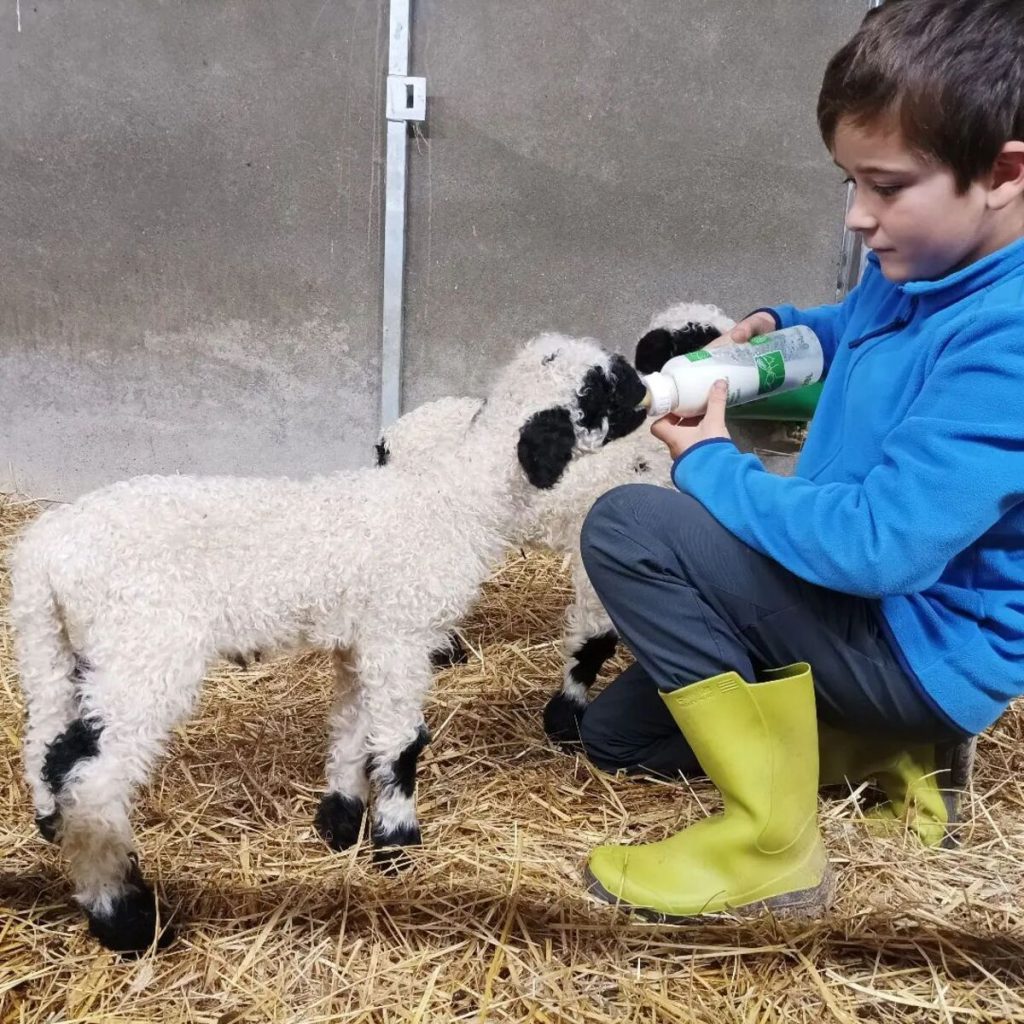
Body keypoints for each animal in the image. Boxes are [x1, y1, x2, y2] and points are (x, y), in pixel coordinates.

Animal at [9, 333, 647, 950]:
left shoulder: (361, 642)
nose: (644, 385)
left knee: (47, 746)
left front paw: (340, 823)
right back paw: (126, 919)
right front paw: (396, 847)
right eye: (598, 387)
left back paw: (54, 832)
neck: (451, 504)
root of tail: (42, 552)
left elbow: (352, 729)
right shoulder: (400, 633)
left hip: (63, 650)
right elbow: (401, 744)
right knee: (89, 778)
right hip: (145, 649)